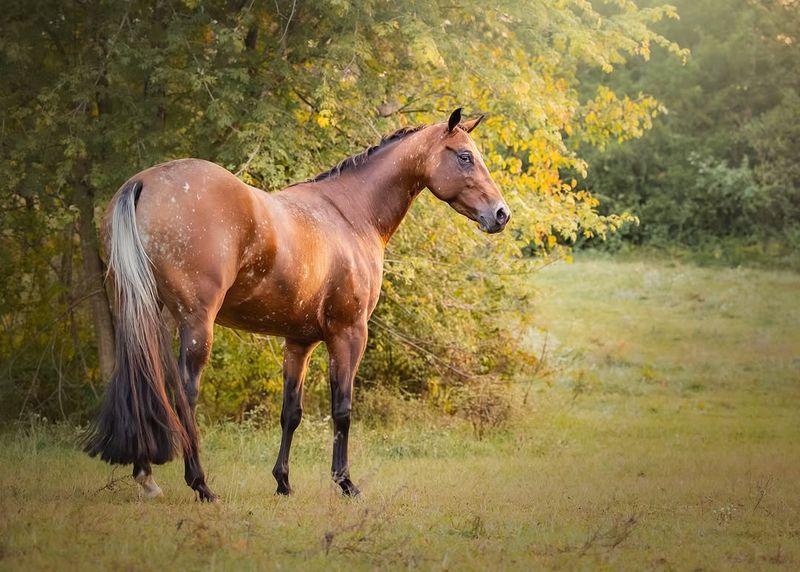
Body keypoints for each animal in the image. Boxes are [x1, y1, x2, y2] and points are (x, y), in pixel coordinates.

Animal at [86, 107, 512, 500]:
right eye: (464, 156)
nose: (501, 214)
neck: (350, 214)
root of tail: (142, 183)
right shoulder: (349, 333)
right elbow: (343, 410)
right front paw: (345, 483)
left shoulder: (299, 341)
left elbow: (290, 412)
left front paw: (283, 482)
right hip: (195, 324)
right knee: (184, 393)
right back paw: (201, 484)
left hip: (145, 317)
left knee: (144, 384)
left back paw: (146, 477)